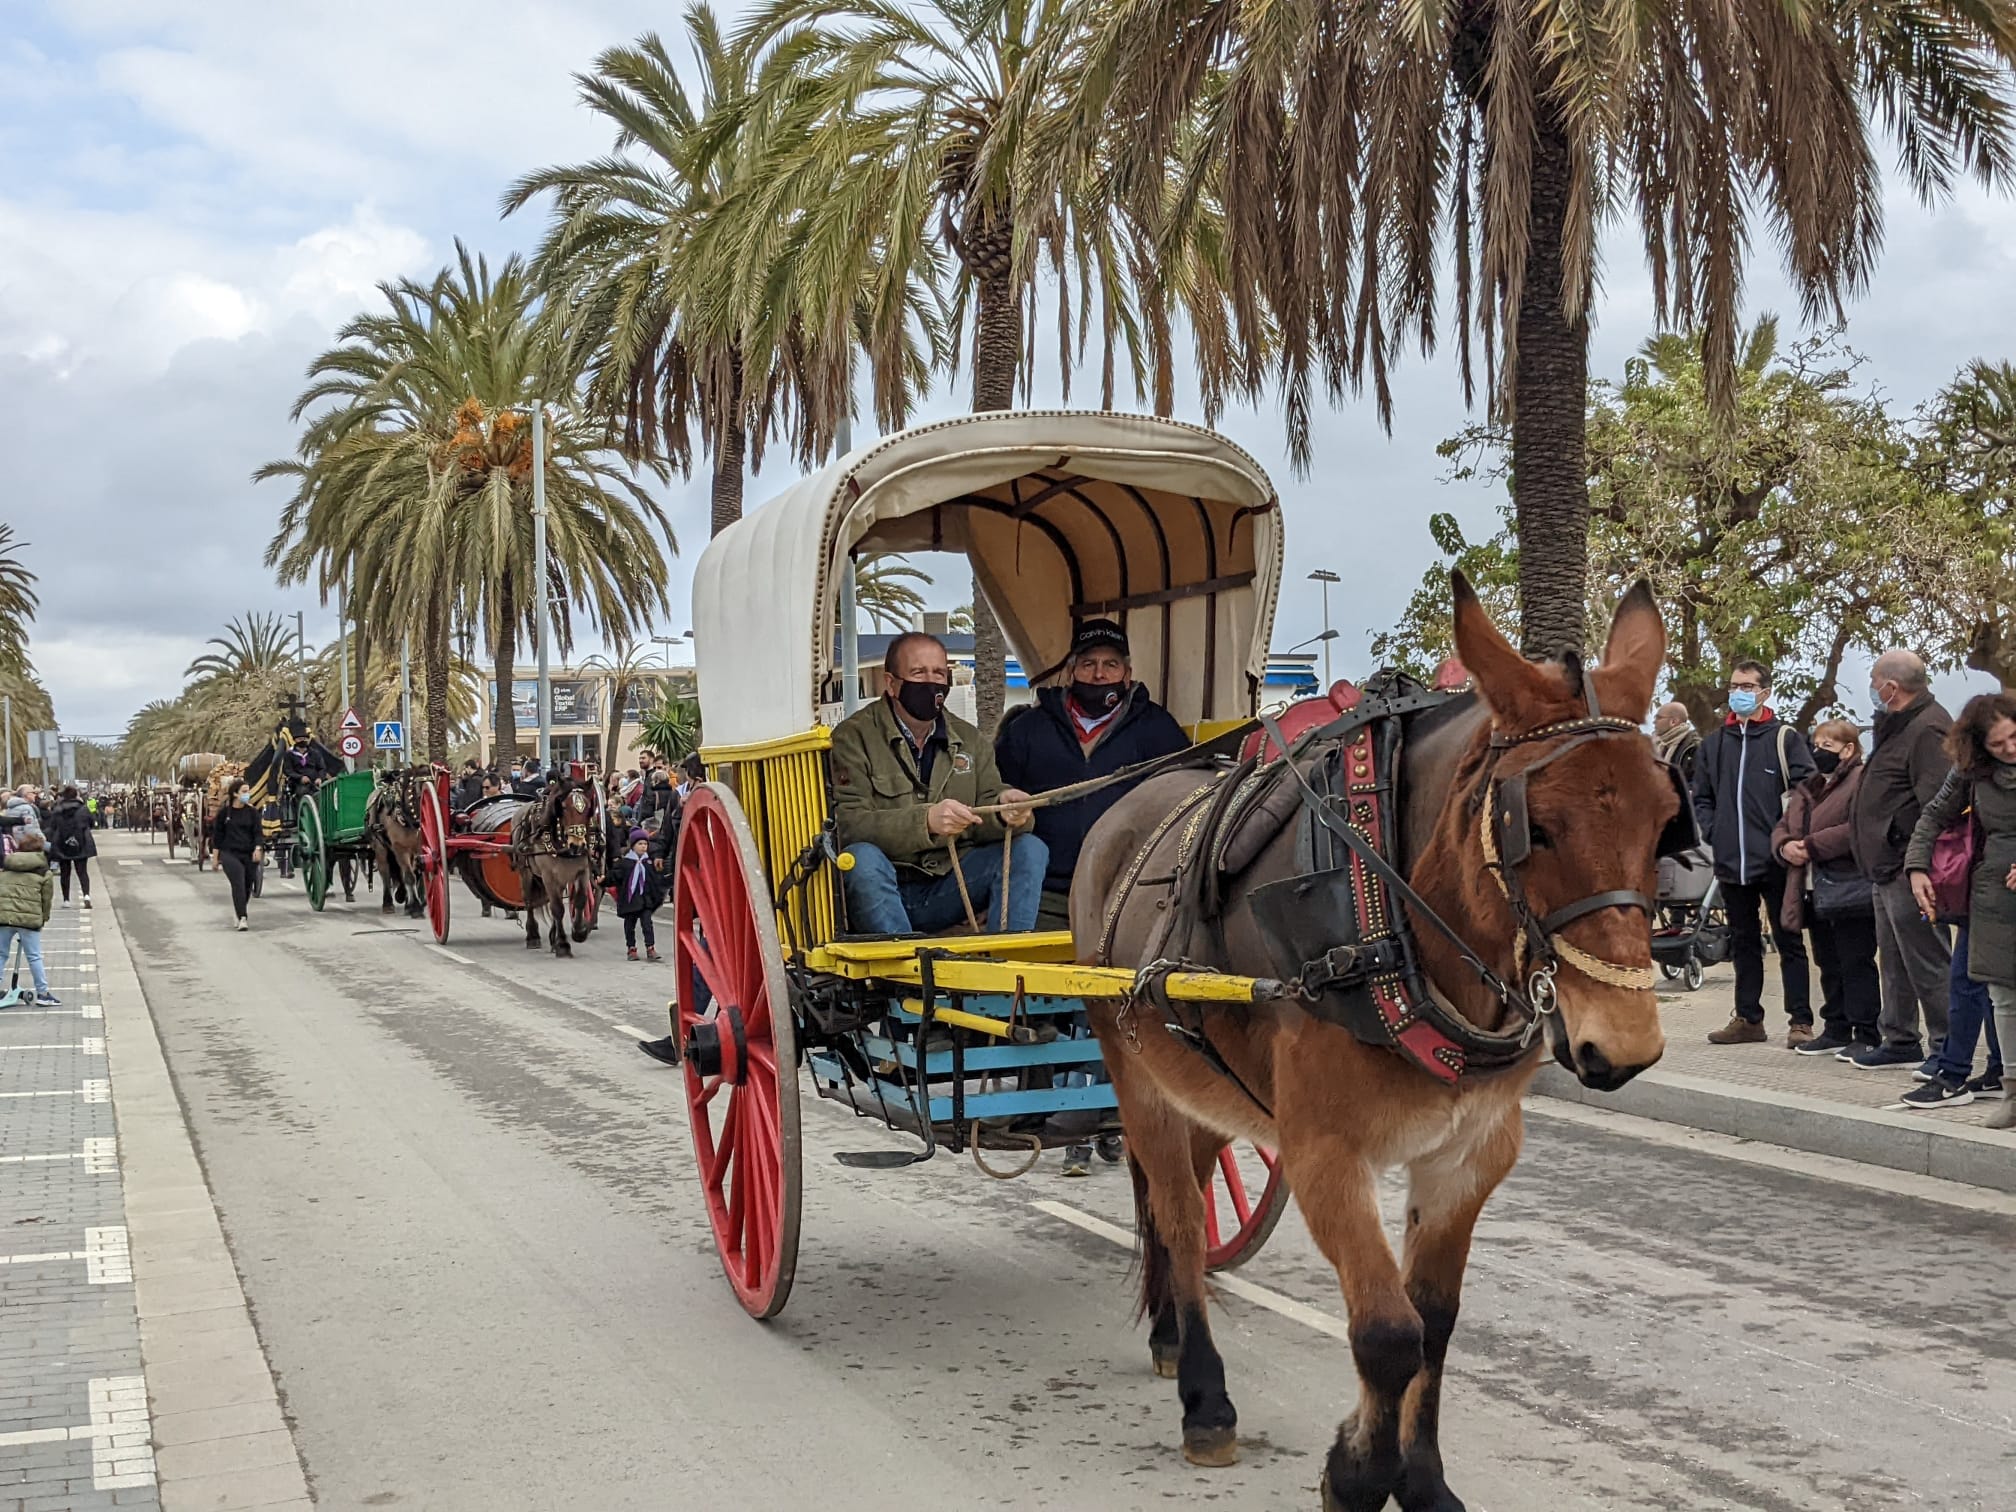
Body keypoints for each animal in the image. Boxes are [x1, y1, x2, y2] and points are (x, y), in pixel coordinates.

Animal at [366, 770, 429, 923]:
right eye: (418, 791)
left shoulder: (420, 850)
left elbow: (419, 875)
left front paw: (414, 904)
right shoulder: (400, 848)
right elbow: (409, 877)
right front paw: (416, 908)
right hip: (380, 848)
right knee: (385, 873)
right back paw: (388, 903)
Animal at [504, 782, 596, 959]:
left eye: (587, 807)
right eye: (564, 807)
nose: (578, 845)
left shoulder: (583, 871)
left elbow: (580, 900)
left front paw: (579, 932)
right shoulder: (548, 876)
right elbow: (558, 908)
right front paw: (563, 944)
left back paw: (552, 937)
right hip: (525, 872)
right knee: (529, 901)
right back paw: (533, 936)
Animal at [1080, 572, 1677, 1507]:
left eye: (1666, 818)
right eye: (1534, 826)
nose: (1624, 1045)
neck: (1389, 918)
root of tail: (1122, 811)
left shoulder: (1469, 1156)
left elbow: (1434, 1322)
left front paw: (1421, 1478)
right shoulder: (1324, 1152)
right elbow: (1387, 1331)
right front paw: (1358, 1471)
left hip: (1203, 1082)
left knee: (1196, 1199)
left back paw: (1173, 1335)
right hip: (1134, 1073)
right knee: (1177, 1218)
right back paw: (1205, 1398)